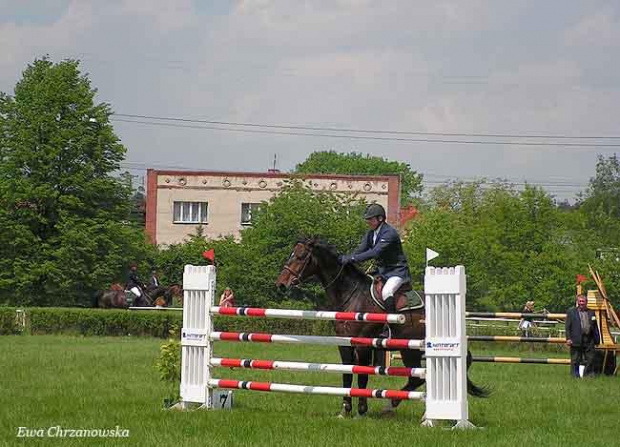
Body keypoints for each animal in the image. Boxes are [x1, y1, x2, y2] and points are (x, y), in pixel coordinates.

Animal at [276, 238, 490, 420]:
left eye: (300, 256)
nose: (281, 284)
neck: (350, 294)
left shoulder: (363, 344)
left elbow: (362, 376)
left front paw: (361, 410)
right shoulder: (344, 343)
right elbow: (347, 374)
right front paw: (345, 410)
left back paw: (404, 409)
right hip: (409, 350)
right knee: (417, 378)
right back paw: (396, 407)